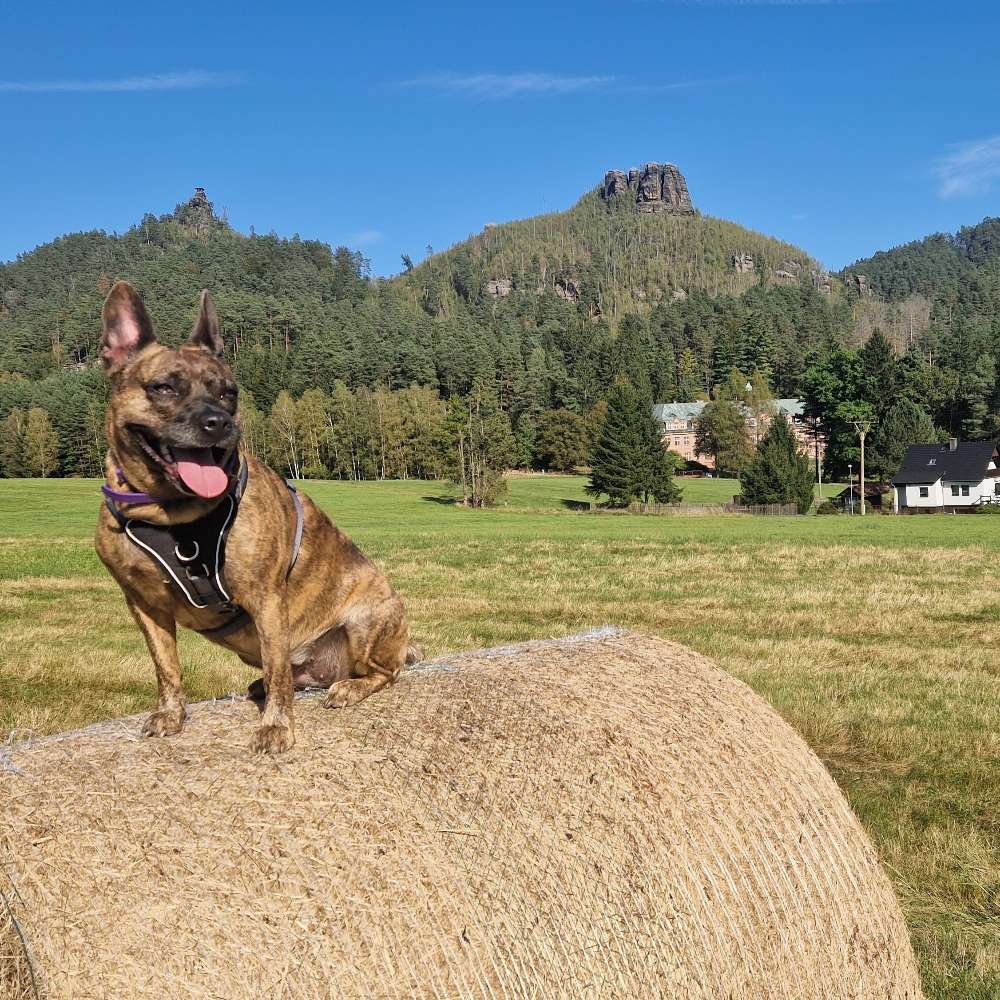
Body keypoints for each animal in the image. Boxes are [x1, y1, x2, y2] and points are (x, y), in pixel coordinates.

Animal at [95, 282, 416, 752]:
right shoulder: (143, 605)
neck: (171, 512)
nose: (218, 421)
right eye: (164, 388)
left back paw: (348, 687)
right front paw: (171, 715)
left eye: (229, 393)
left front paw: (277, 726)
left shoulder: (266, 599)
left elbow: (279, 671)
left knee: (380, 672)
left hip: (367, 622)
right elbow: (166, 666)